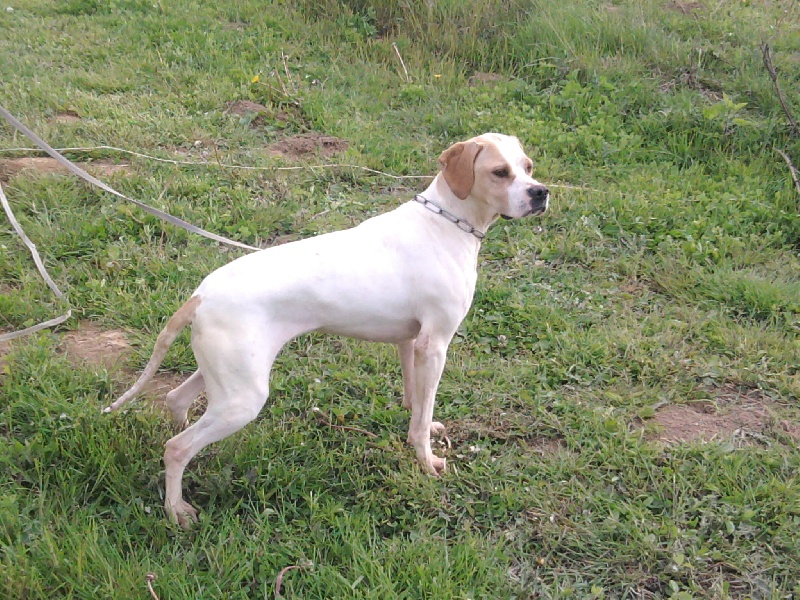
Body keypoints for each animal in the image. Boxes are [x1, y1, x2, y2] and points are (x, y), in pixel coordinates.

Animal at [105, 133, 549, 527]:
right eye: (499, 172)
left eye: (528, 167)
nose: (540, 193)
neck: (446, 222)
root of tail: (200, 294)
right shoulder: (435, 344)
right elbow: (421, 423)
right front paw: (426, 462)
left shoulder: (411, 342)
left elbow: (417, 403)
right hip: (244, 399)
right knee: (176, 449)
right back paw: (176, 509)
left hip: (226, 379)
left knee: (177, 401)